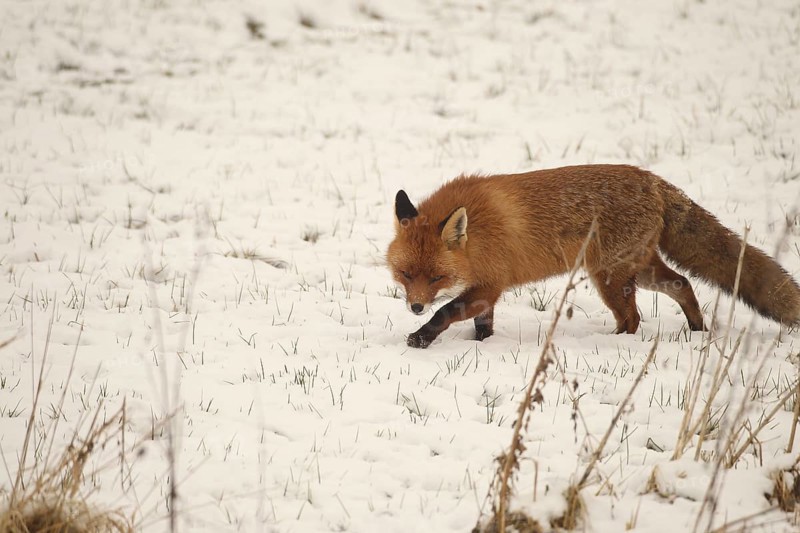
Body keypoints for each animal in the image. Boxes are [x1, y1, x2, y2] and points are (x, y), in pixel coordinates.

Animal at [386, 165, 800, 348]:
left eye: (436, 278)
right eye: (406, 275)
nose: (415, 307)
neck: (476, 239)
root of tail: (654, 181)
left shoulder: (490, 285)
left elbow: (447, 311)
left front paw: (421, 337)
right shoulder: (485, 290)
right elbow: (482, 324)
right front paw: (482, 345)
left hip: (610, 278)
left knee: (633, 319)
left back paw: (616, 344)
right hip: (639, 271)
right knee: (681, 283)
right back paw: (698, 330)